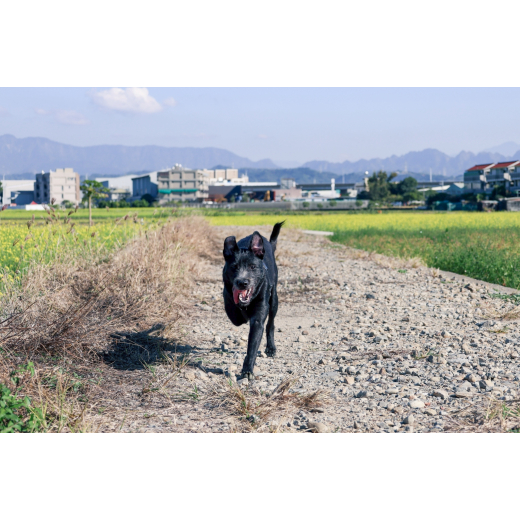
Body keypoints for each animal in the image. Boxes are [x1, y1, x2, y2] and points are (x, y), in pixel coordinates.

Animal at [222, 222, 284, 379]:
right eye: (234, 267)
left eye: (253, 266)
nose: (242, 283)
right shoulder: (229, 299)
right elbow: (235, 316)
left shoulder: (258, 317)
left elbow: (252, 345)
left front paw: (247, 370)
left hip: (274, 300)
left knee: (271, 323)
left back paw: (271, 348)